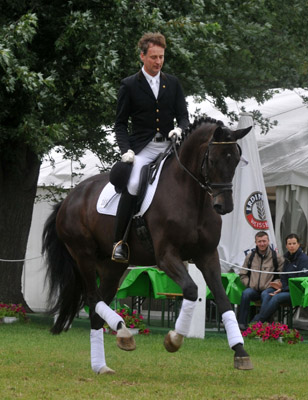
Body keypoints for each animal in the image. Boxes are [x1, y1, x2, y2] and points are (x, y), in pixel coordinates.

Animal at [42, 117, 253, 374]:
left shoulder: (207, 255)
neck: (191, 195)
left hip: (112, 267)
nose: (225, 206)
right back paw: (122, 332)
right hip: (84, 256)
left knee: (97, 308)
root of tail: (69, 198)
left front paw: (240, 352)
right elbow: (191, 290)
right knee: (93, 298)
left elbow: (222, 300)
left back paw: (103, 363)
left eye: (236, 160)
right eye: (213, 160)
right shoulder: (166, 256)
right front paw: (174, 339)